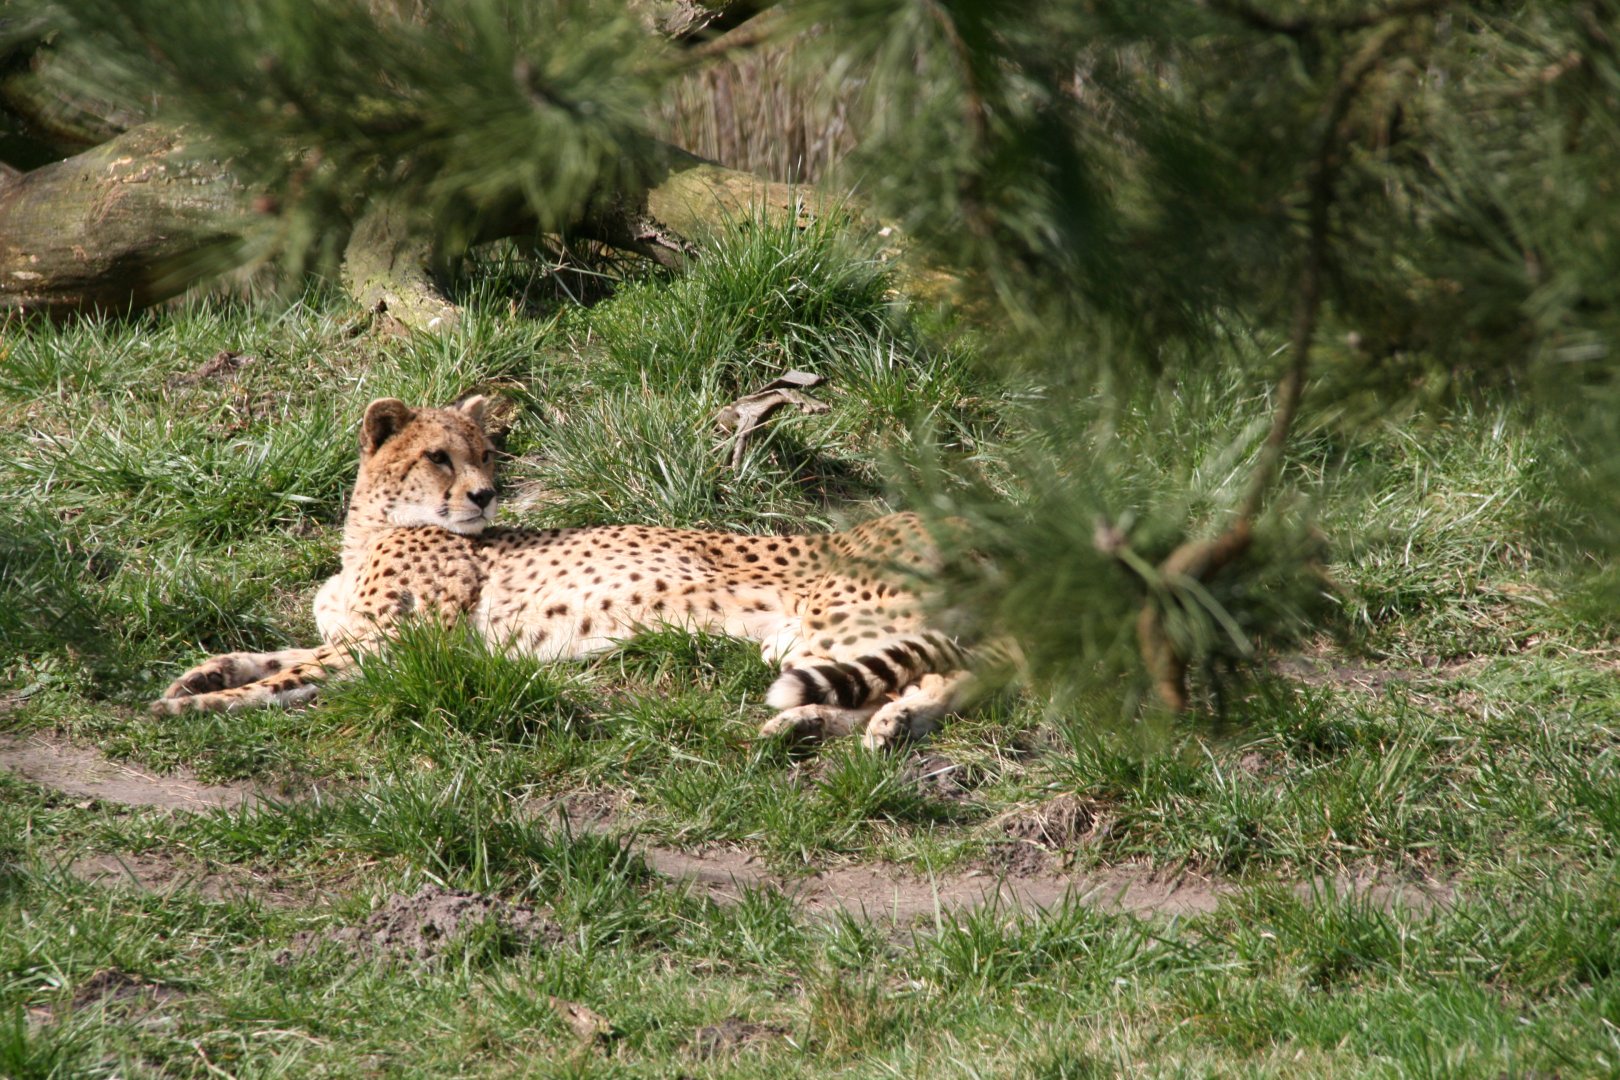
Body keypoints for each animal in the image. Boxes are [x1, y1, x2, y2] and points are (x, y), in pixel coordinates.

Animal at [151, 396, 973, 748]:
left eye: (487, 453)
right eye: (440, 456)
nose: (485, 494)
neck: (373, 531)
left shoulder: (398, 647)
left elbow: (290, 675)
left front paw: (201, 706)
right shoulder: (361, 640)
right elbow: (277, 655)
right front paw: (204, 674)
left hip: (828, 621)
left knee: (955, 673)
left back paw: (888, 720)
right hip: (819, 642)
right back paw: (821, 722)